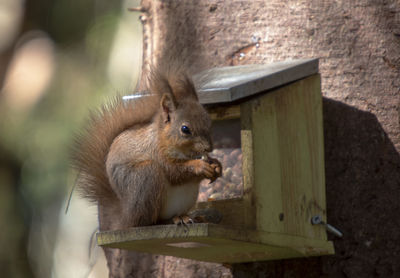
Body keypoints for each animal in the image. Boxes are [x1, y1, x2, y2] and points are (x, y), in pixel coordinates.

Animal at [72, 65, 222, 230]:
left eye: (209, 122)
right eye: (185, 129)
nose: (208, 148)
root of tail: (124, 218)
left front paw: (216, 165)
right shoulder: (157, 153)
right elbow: (174, 171)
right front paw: (200, 166)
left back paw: (189, 217)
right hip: (146, 176)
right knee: (146, 222)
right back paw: (169, 221)